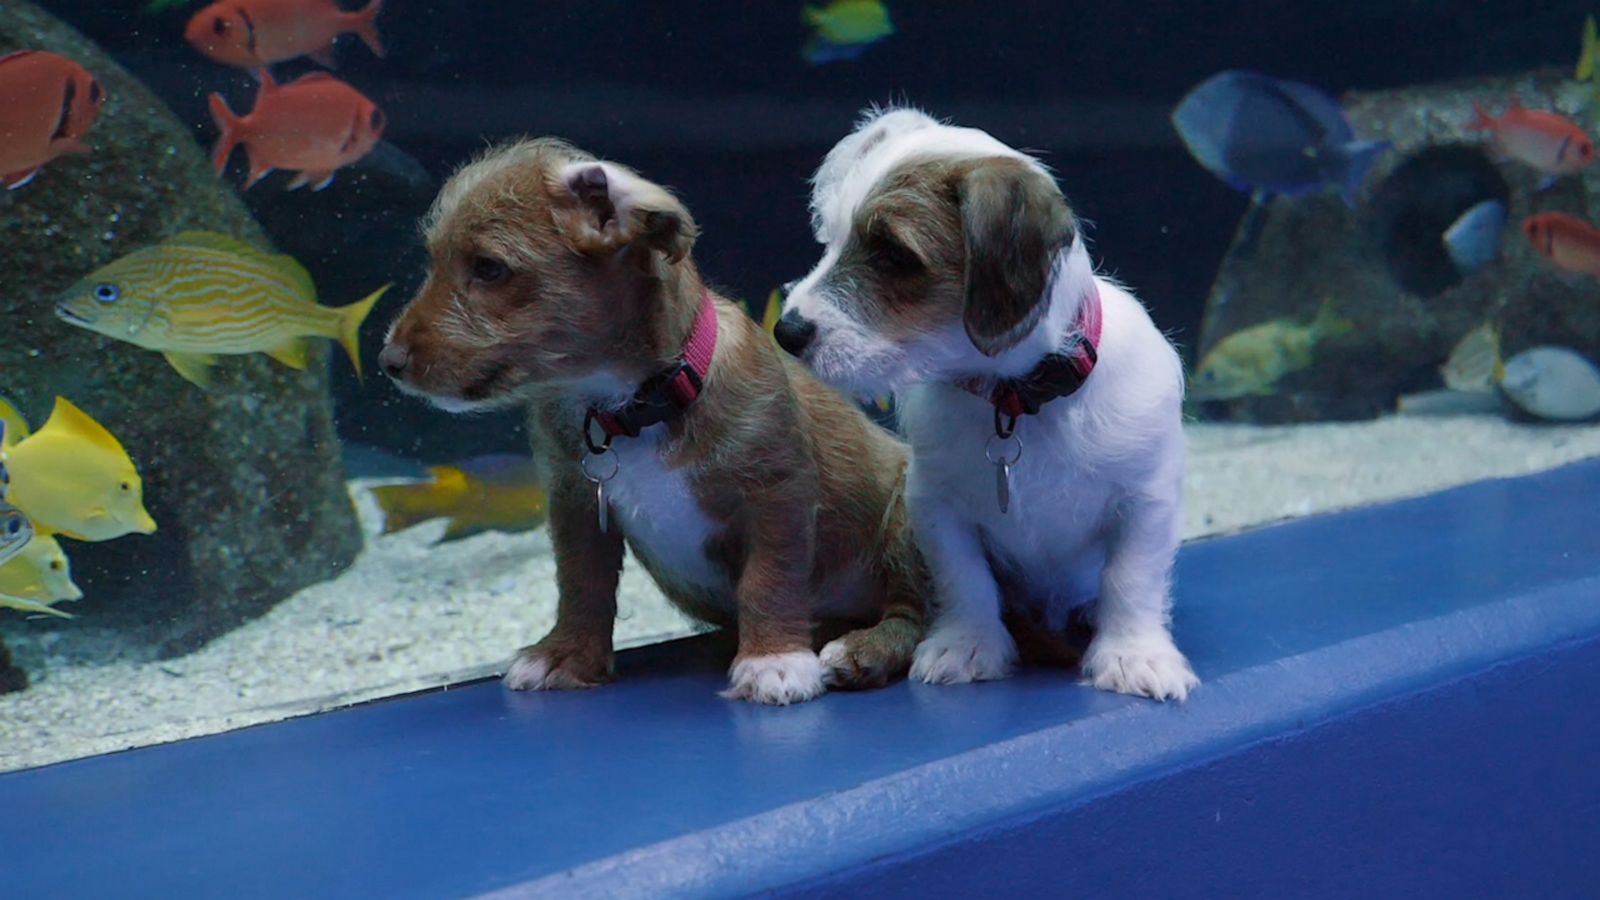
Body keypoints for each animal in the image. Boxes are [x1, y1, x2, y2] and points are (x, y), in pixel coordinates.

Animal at [379, 138, 921, 701]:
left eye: (489, 268)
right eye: (434, 261)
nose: (387, 361)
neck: (631, 407)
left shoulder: (778, 494)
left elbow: (769, 579)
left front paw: (774, 659)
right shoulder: (575, 503)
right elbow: (581, 584)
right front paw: (566, 654)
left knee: (917, 613)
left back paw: (865, 650)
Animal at [774, 103, 1203, 695]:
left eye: (895, 256)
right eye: (830, 240)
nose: (785, 331)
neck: (1015, 402)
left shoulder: (1146, 500)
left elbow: (1130, 579)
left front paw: (1132, 653)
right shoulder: (935, 507)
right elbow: (965, 581)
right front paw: (968, 643)